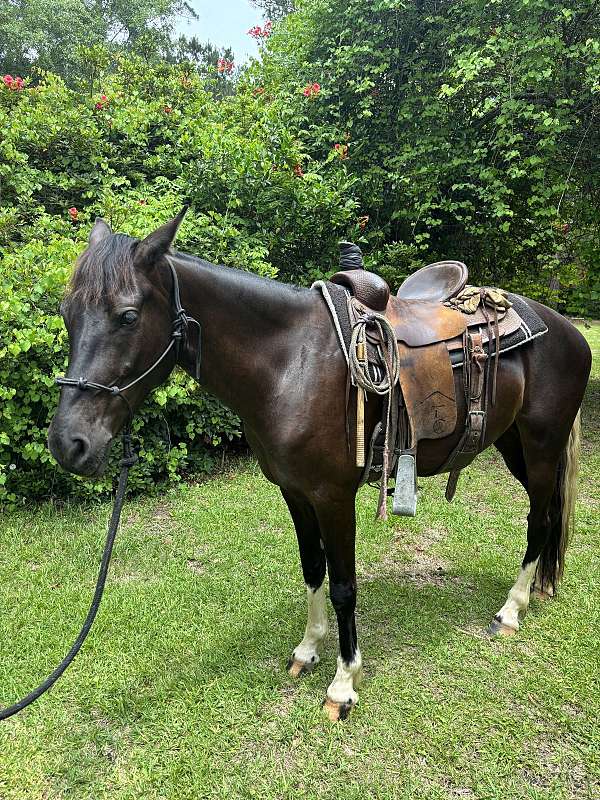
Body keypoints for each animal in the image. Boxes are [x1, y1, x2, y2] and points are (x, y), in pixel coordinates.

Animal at [48, 211, 592, 721]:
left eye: (127, 316)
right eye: (67, 313)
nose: (67, 443)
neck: (291, 363)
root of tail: (566, 329)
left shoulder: (333, 497)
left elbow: (344, 587)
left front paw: (343, 684)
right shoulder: (294, 491)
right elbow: (313, 569)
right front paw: (308, 650)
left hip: (541, 448)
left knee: (540, 520)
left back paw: (511, 610)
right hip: (514, 445)